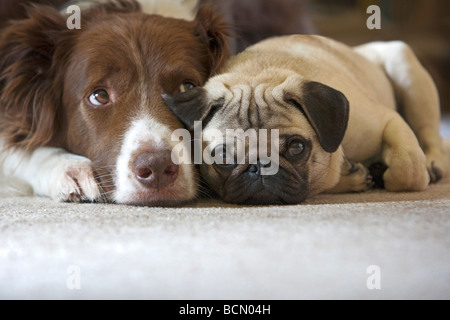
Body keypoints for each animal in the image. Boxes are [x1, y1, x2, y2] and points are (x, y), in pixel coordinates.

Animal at [164, 35, 450, 205]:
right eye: (222, 156)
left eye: (296, 147)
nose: (260, 166)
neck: (259, 74)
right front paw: (352, 176)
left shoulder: (388, 121)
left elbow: (407, 169)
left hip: (406, 71)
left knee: (429, 137)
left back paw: (433, 164)